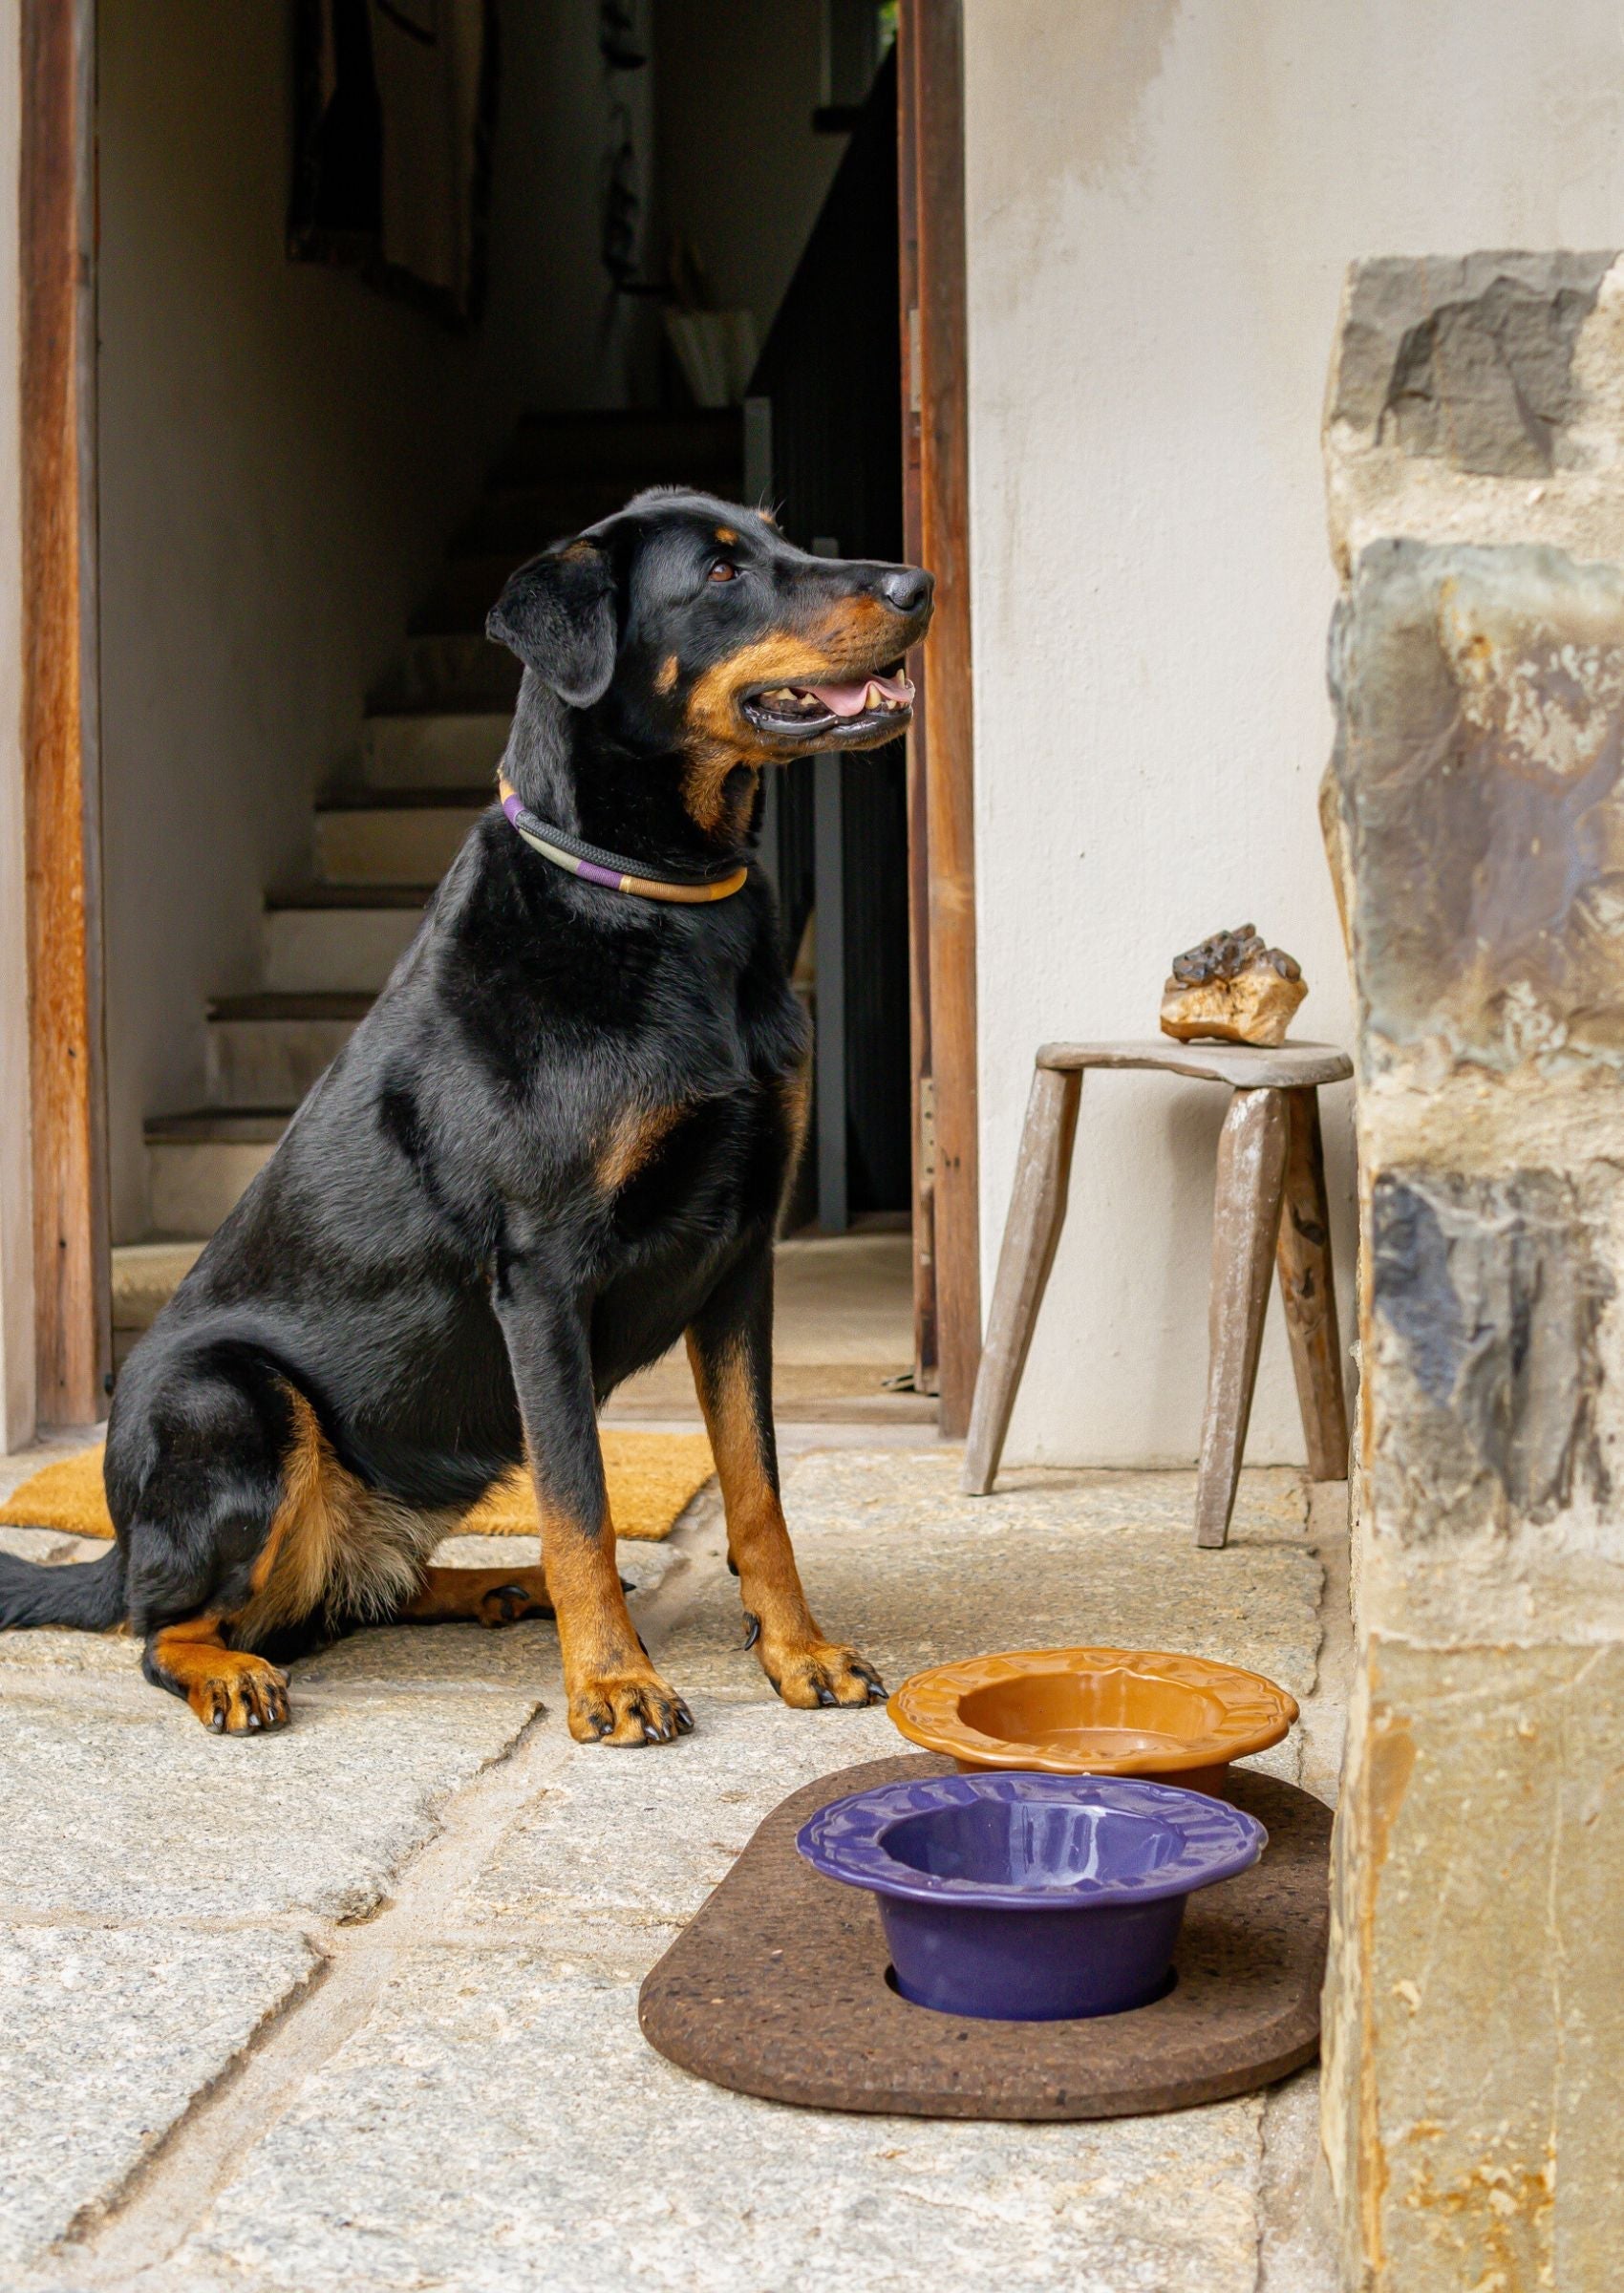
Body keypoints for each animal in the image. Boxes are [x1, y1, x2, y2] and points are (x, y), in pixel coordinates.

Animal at [0, 483, 930, 1733]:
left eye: (781, 532)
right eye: (722, 573)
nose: (918, 586)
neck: (658, 900)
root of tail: (121, 1543)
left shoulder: (741, 1263)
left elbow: (757, 1490)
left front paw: (797, 1651)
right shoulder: (541, 1275)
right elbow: (583, 1503)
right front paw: (615, 1681)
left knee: (354, 1594)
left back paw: (494, 1586)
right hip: (230, 1401)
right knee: (169, 1628)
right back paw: (231, 1670)